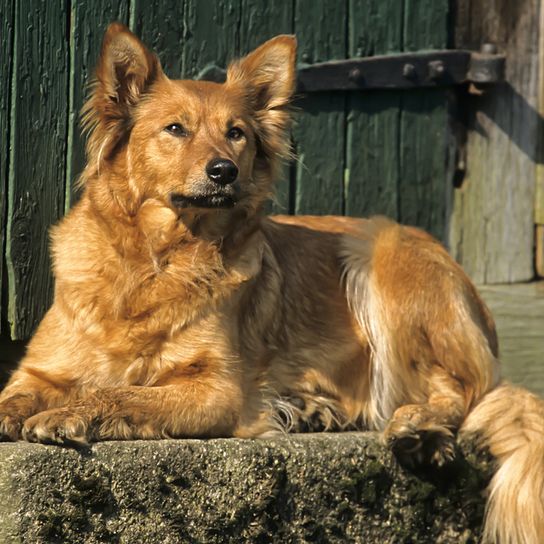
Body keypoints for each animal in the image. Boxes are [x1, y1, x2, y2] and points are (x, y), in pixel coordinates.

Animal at [1, 22, 544, 544]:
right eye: (175, 129)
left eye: (236, 133)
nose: (224, 171)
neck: (153, 261)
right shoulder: (37, 373)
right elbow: (18, 395)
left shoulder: (217, 390)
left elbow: (127, 394)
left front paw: (69, 413)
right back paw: (312, 410)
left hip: (381, 254)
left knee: (456, 390)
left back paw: (417, 426)